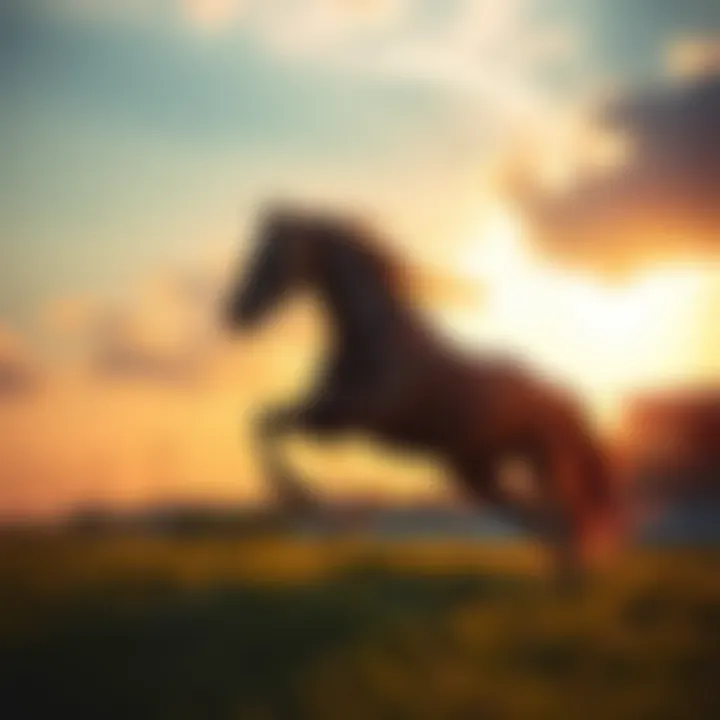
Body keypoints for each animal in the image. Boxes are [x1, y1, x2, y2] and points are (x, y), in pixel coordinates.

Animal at [224, 206, 620, 582]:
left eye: (272, 254)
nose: (237, 311)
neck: (375, 338)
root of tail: (560, 396)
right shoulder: (329, 413)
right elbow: (263, 423)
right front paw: (304, 502)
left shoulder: (343, 418)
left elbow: (268, 425)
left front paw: (303, 500)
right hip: (476, 473)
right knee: (539, 516)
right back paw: (564, 573)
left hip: (541, 463)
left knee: (565, 511)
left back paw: (576, 573)